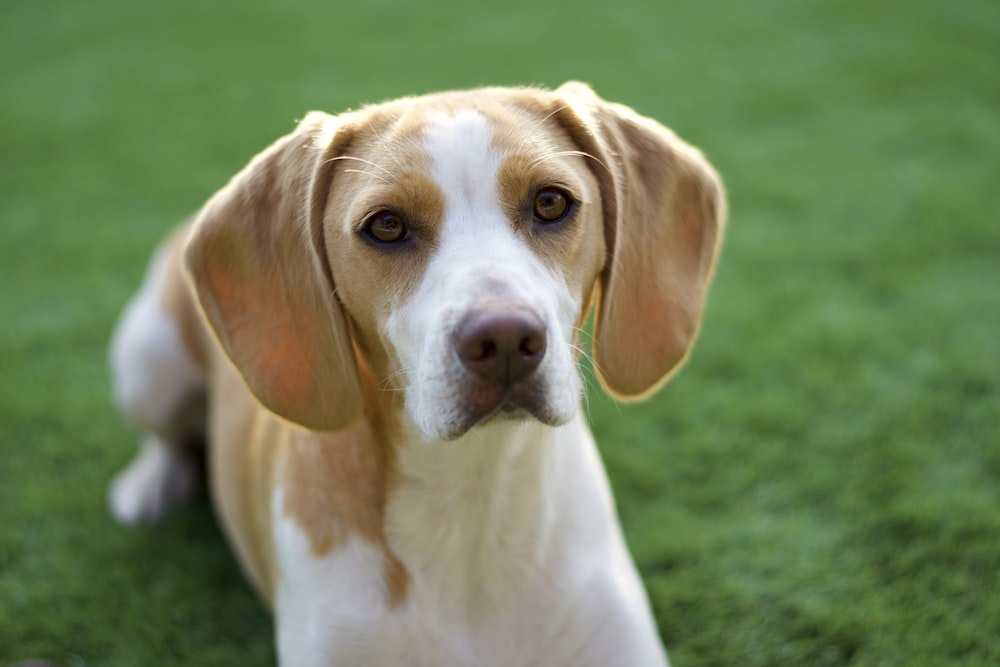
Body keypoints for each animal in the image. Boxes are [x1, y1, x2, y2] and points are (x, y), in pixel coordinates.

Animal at [107, 81, 728, 664]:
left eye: (551, 202)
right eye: (385, 225)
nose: (504, 338)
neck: (471, 501)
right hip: (150, 361)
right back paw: (150, 485)